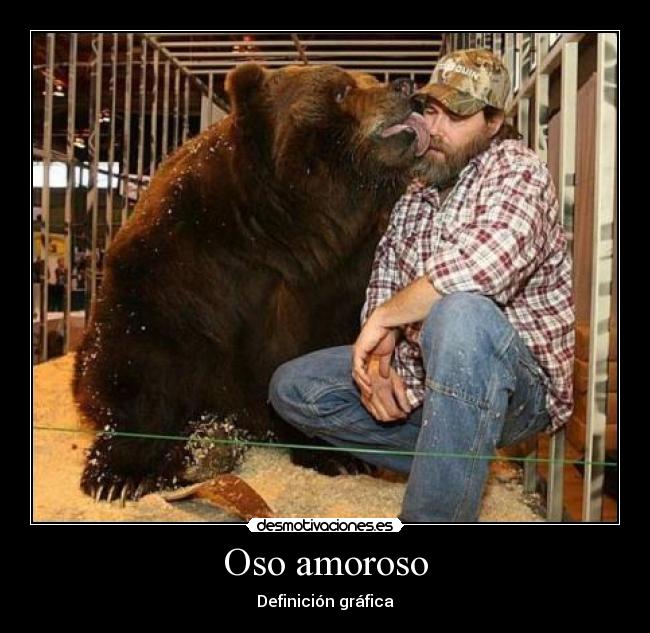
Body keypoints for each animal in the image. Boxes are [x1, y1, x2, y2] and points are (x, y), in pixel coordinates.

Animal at [73, 63, 429, 502]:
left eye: (368, 79)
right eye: (341, 89)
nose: (408, 87)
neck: (288, 231)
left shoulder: (340, 277)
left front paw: (334, 454)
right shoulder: (184, 262)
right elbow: (140, 348)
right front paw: (119, 473)